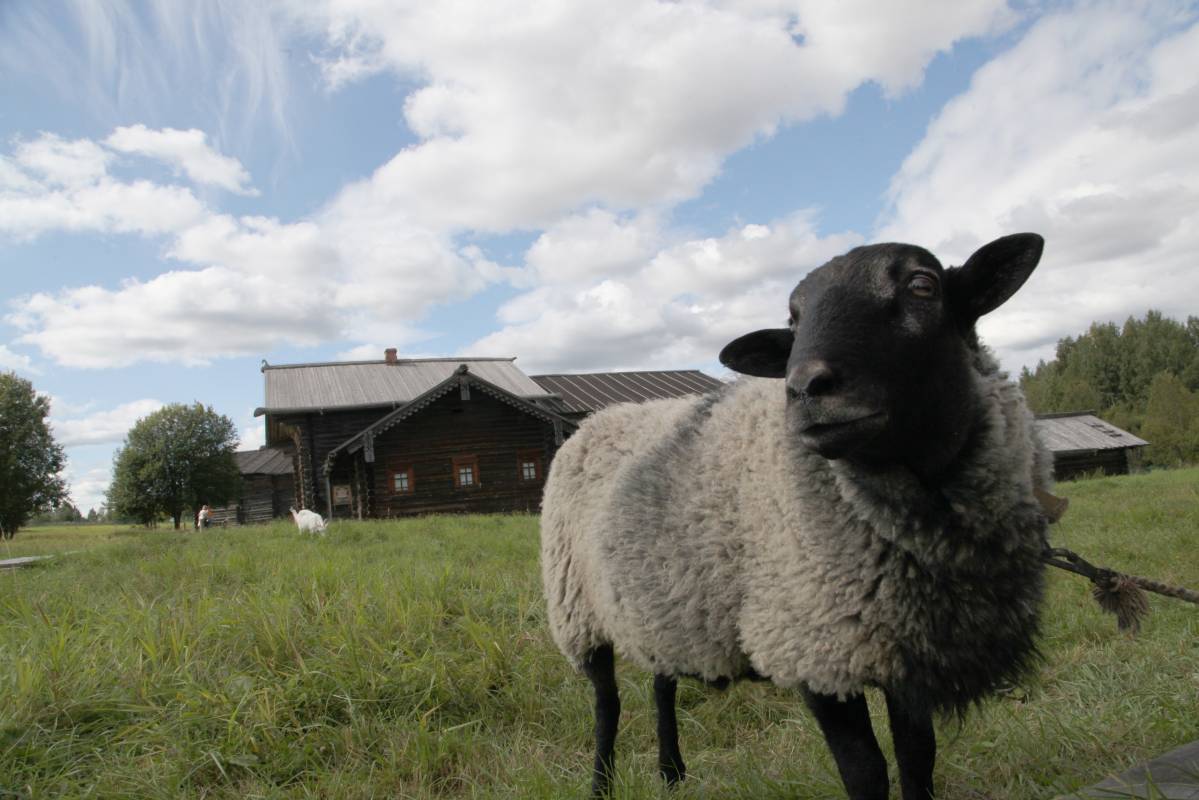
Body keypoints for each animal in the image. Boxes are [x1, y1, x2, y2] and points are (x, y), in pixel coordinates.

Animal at [541, 232, 1050, 800]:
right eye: (793, 320)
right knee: (606, 704)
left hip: (664, 602)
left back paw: (671, 772)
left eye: (924, 285)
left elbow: (919, 759)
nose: (805, 388)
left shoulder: (905, 651)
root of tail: (596, 420)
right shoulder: (811, 644)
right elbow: (866, 772)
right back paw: (601, 784)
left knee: (661, 682)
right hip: (577, 610)